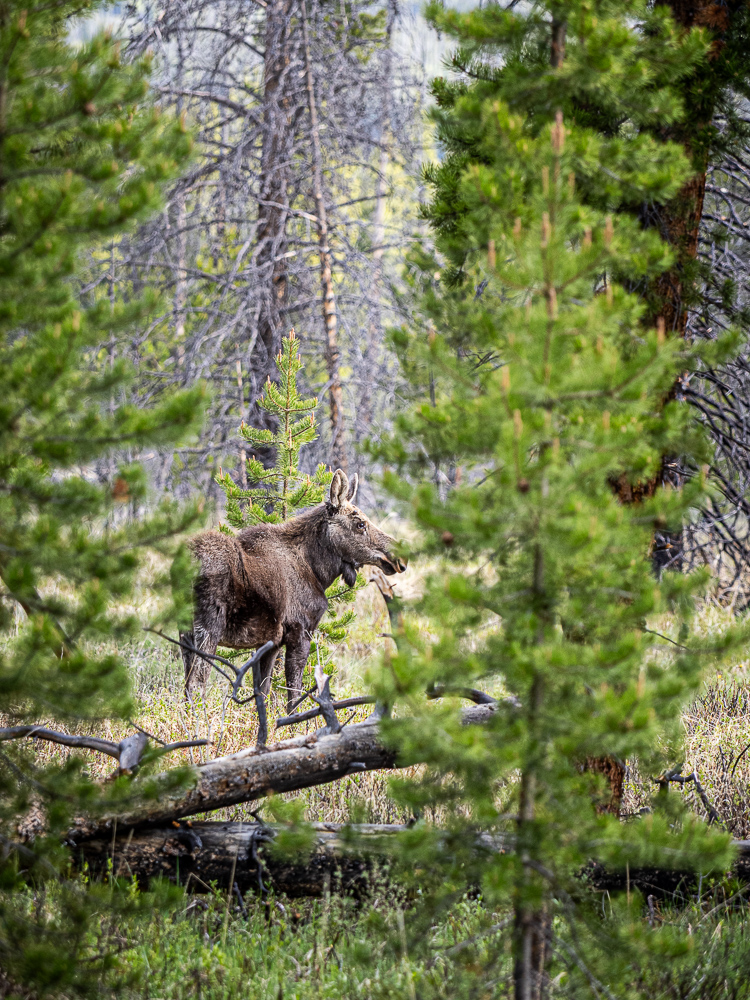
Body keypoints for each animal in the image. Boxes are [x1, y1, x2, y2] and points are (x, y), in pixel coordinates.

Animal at [180, 469, 407, 711]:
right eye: (360, 523)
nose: (400, 558)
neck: (318, 571)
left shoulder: (269, 643)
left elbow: (263, 691)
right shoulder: (301, 630)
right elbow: (294, 695)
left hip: (185, 630)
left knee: (186, 686)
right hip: (209, 625)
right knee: (196, 684)